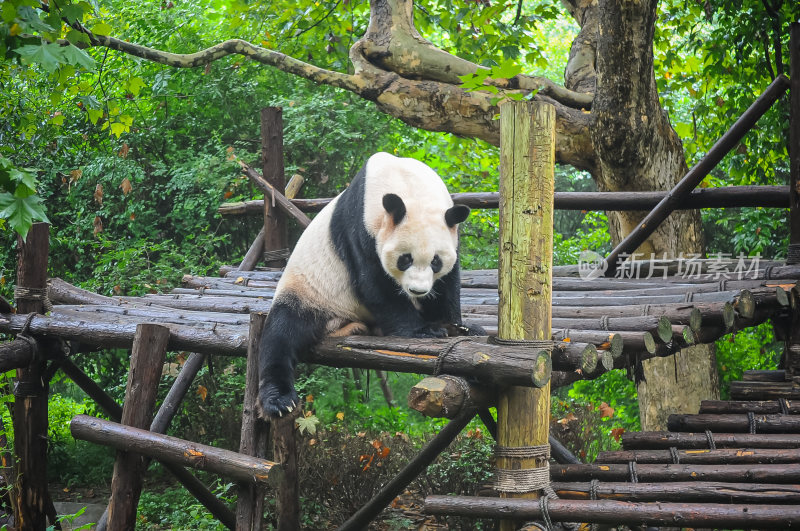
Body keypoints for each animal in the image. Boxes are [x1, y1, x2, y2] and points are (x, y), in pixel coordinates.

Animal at [258, 151, 482, 420]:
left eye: (435, 261)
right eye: (405, 259)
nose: (417, 291)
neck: (407, 184)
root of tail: (336, 324)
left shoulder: (450, 237)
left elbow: (448, 285)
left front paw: (456, 326)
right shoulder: (359, 227)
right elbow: (375, 284)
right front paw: (424, 330)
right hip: (308, 291)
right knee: (281, 333)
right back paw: (280, 400)